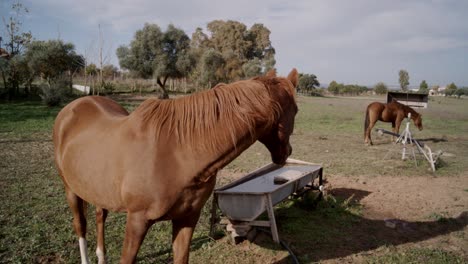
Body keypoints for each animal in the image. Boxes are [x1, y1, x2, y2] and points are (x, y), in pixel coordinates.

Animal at [53, 68, 298, 264]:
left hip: (96, 189)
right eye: (295, 110)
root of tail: (73, 106)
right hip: (70, 189)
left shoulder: (187, 218)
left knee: (100, 216)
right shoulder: (137, 221)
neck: (178, 154)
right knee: (81, 225)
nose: (287, 153)